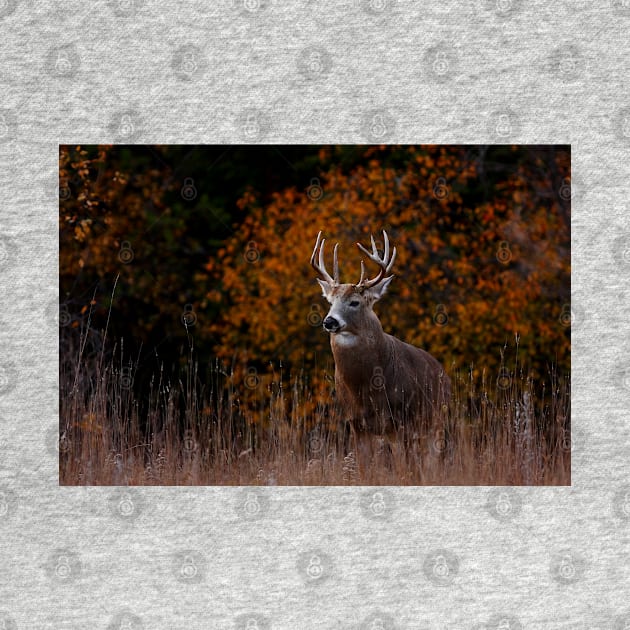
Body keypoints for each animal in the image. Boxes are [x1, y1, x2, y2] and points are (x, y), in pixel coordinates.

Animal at [310, 230, 450, 452]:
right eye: (330, 302)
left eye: (355, 302)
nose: (329, 321)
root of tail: (444, 373)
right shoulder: (357, 424)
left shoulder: (402, 421)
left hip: (436, 421)